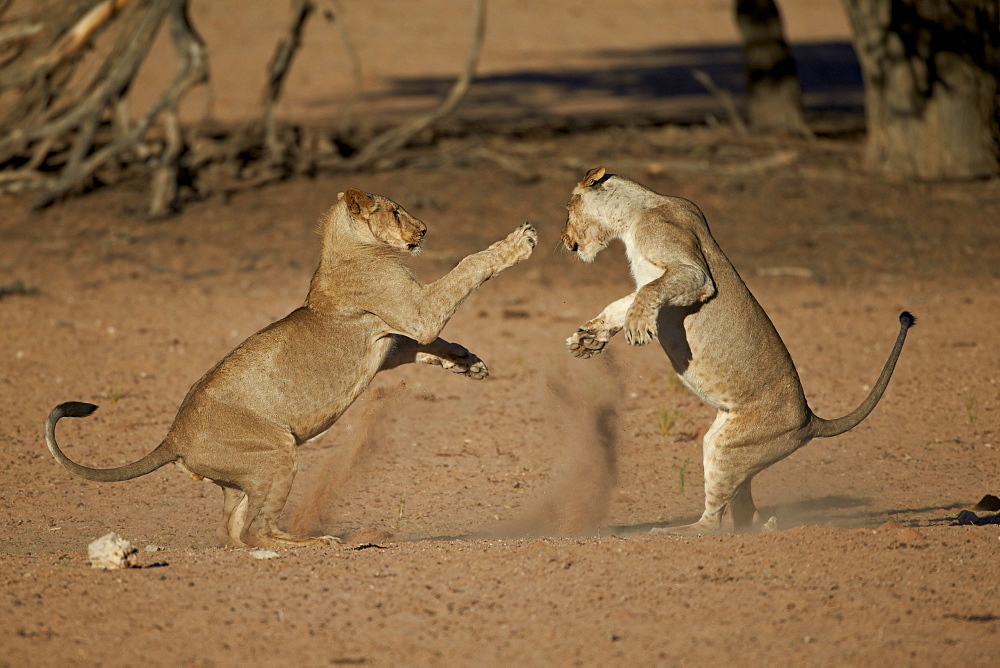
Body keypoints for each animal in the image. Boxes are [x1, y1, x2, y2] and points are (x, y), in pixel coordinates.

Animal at [45, 188, 540, 548]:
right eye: (397, 212)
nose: (424, 228)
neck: (351, 248)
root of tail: (173, 437)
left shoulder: (393, 337)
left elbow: (428, 345)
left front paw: (468, 362)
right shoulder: (416, 312)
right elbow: (466, 269)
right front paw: (519, 242)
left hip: (243, 477)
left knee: (234, 531)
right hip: (277, 450)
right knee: (258, 529)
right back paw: (315, 543)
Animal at [564, 170, 916, 536]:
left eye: (568, 209)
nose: (567, 243)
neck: (636, 213)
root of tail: (810, 419)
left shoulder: (691, 270)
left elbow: (648, 293)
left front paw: (633, 327)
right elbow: (621, 305)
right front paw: (588, 338)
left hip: (726, 449)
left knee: (714, 522)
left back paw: (676, 530)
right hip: (728, 445)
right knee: (743, 511)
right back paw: (764, 525)